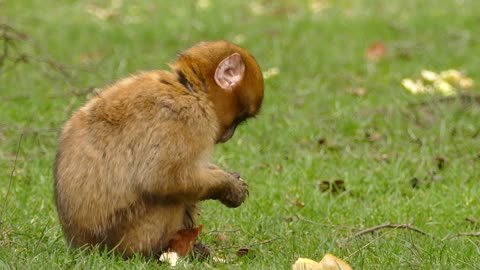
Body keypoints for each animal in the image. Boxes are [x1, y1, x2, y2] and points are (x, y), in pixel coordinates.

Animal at [54, 40, 264, 258]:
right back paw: (165, 251)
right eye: (240, 119)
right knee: (170, 197)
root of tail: (81, 244)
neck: (189, 89)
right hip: (128, 235)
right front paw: (228, 186)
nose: (229, 134)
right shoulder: (187, 118)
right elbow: (163, 179)